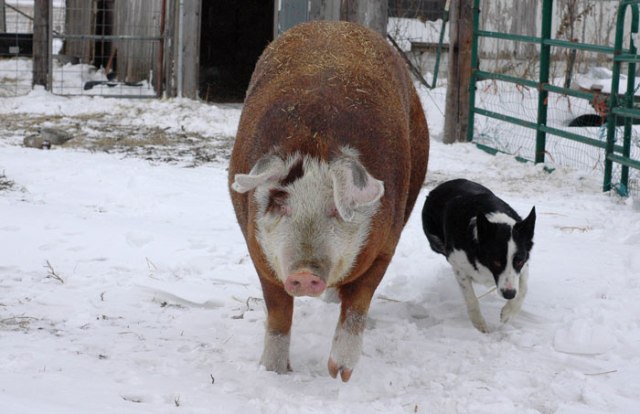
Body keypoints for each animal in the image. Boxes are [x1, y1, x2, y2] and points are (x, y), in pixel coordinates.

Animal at [228, 20, 429, 382]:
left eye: (336, 208)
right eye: (282, 204)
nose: (305, 273)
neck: (316, 141)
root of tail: (336, 23)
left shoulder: (385, 245)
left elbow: (358, 304)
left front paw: (340, 374)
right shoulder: (259, 249)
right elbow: (278, 312)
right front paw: (272, 372)